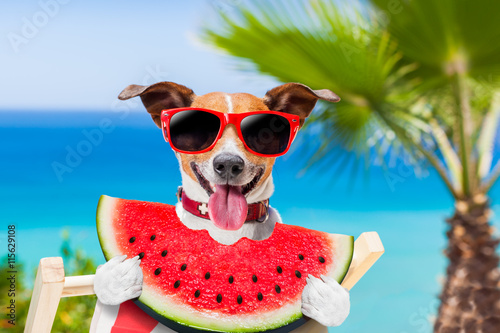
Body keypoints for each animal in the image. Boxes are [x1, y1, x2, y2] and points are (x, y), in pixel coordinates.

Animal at [94, 81, 352, 330]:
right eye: (197, 128)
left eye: (262, 131)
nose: (228, 164)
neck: (226, 232)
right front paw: (117, 277)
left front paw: (327, 298)